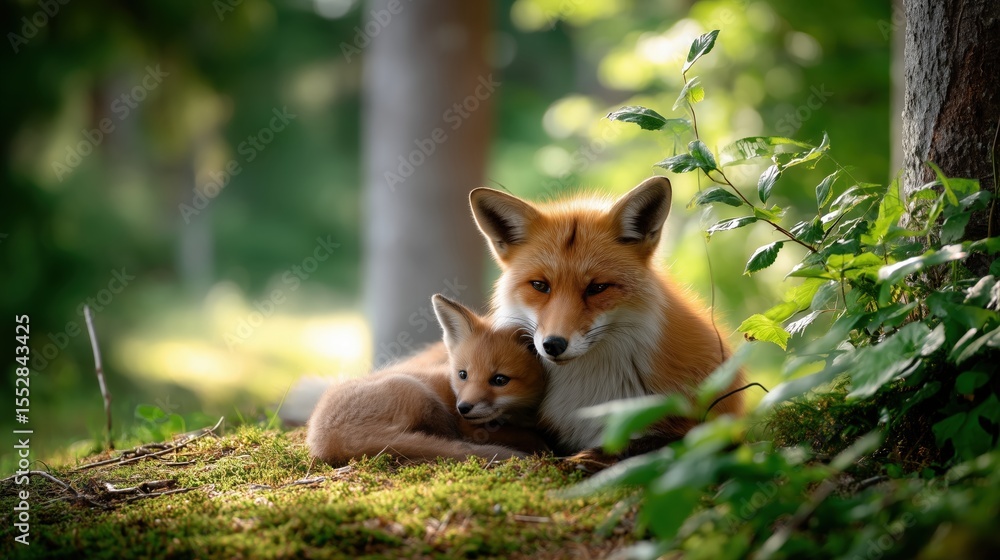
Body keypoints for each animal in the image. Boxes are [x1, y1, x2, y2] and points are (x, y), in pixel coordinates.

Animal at [306, 294, 548, 465]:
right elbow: (526, 437)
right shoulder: (468, 426)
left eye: (499, 380)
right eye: (463, 374)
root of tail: (326, 442)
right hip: (420, 394)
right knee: (449, 439)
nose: (463, 407)